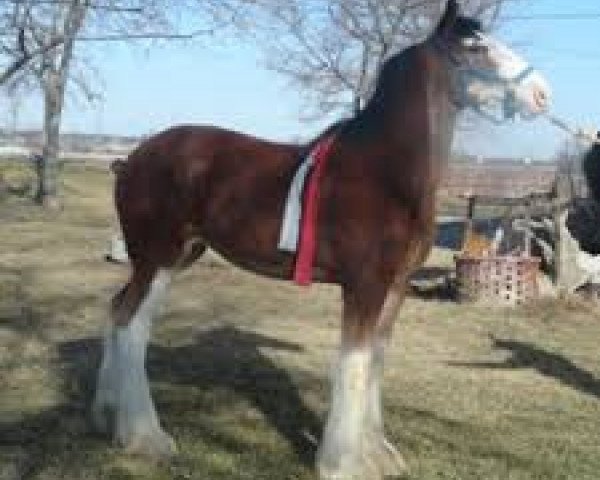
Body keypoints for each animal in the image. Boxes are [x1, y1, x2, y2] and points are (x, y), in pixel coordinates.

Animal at [92, 1, 548, 478]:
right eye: (475, 47)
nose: (542, 94)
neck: (384, 173)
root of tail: (132, 158)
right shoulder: (364, 285)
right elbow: (354, 364)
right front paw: (341, 462)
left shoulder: (396, 286)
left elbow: (376, 360)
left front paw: (378, 452)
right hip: (159, 258)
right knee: (133, 326)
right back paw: (145, 436)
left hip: (177, 255)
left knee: (117, 311)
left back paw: (107, 414)